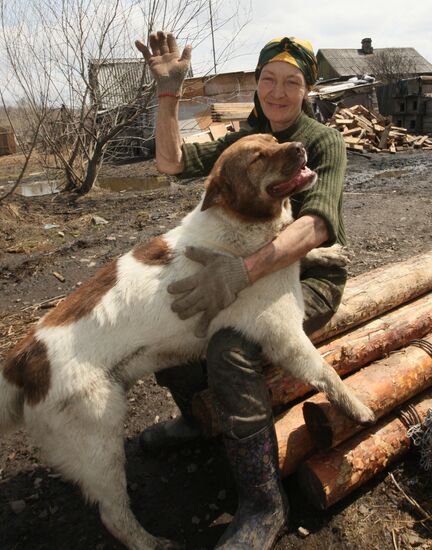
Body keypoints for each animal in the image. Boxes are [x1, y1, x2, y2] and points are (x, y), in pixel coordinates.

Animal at [0, 135, 374, 550]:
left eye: (274, 141)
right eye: (257, 158)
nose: (298, 146)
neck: (239, 229)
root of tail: (22, 360)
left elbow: (297, 248)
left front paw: (326, 251)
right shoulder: (284, 334)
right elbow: (327, 373)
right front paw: (356, 407)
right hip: (98, 438)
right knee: (113, 515)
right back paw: (152, 543)